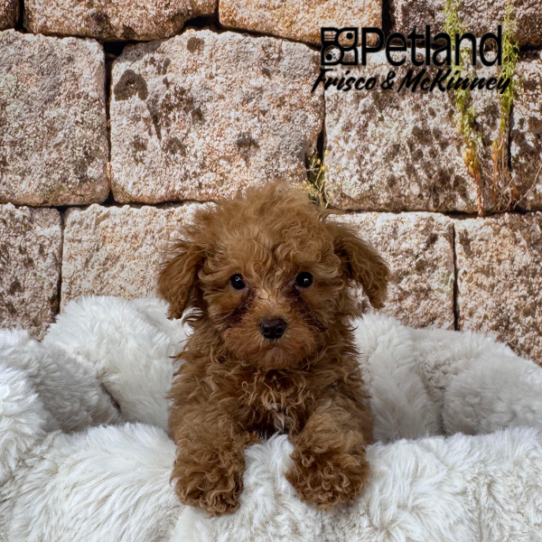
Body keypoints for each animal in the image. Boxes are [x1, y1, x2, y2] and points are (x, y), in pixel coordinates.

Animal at [158, 182, 390, 516]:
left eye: (304, 278)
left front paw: (328, 471)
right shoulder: (201, 393)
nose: (272, 326)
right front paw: (207, 475)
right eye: (237, 280)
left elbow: (333, 421)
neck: (272, 375)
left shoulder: (340, 391)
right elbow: (206, 426)